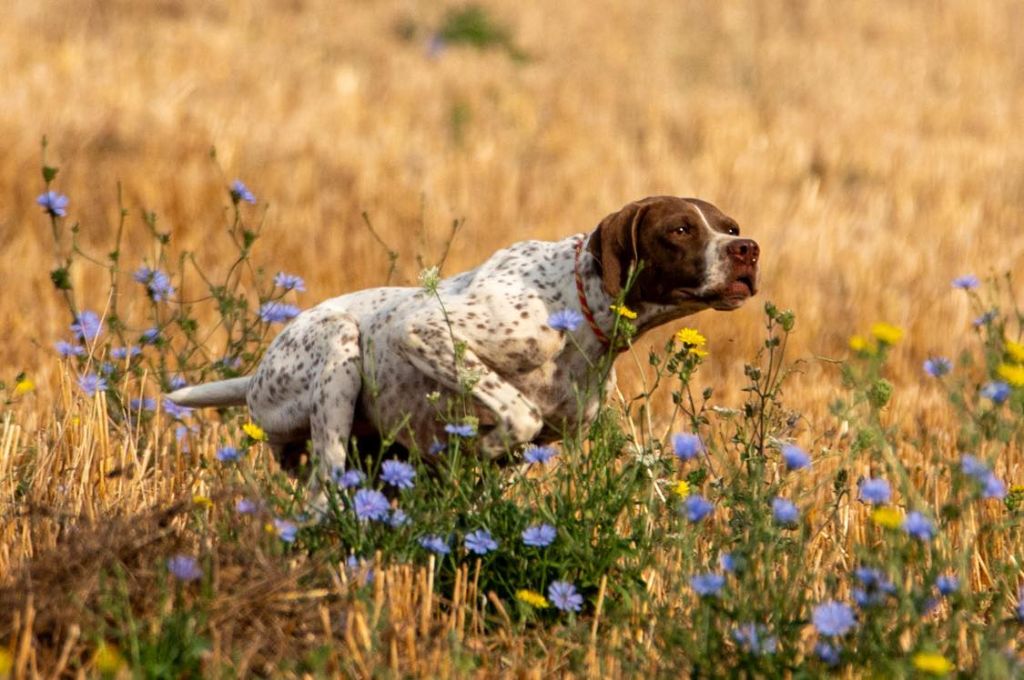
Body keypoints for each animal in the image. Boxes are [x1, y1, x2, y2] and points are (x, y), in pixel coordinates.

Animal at [169, 196, 761, 489]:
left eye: (730, 227)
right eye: (680, 230)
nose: (748, 250)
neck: (577, 302)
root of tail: (255, 375)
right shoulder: (423, 330)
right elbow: (518, 412)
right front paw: (484, 443)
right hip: (339, 351)